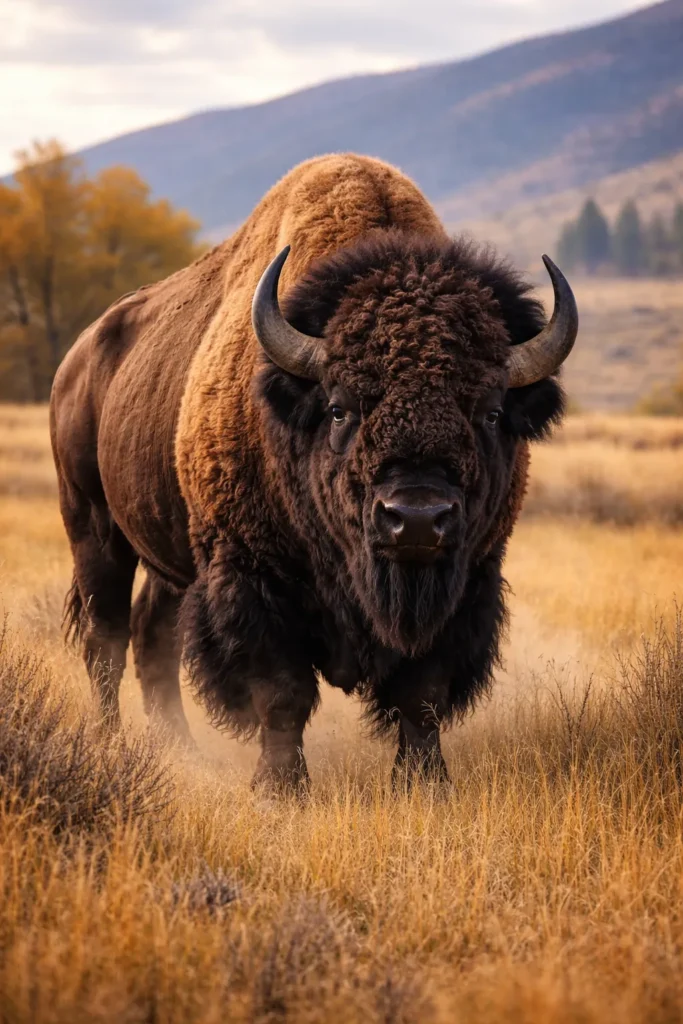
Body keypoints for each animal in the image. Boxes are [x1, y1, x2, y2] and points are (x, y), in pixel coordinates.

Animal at [50, 153, 577, 790]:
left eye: (492, 411)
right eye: (339, 407)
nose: (416, 519)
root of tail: (77, 358)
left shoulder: (467, 582)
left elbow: (422, 695)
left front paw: (426, 784)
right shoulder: (251, 578)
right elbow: (283, 693)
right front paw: (280, 789)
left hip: (169, 553)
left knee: (153, 635)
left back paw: (181, 749)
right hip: (92, 526)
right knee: (105, 639)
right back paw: (111, 744)